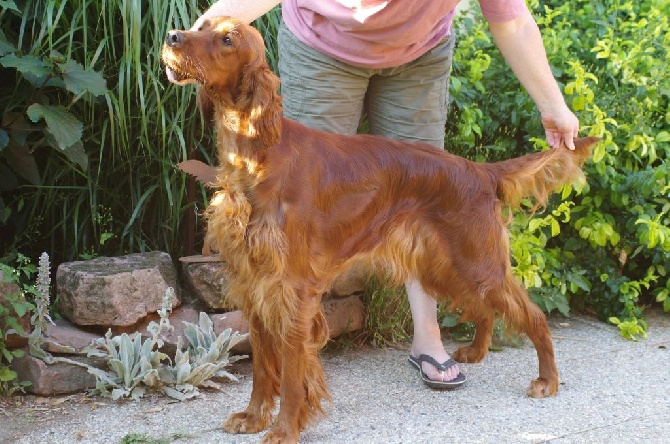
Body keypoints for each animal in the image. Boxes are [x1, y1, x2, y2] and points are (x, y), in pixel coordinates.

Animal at [165, 15, 600, 442]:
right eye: (202, 27)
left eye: (227, 39)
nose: (171, 36)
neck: (257, 155)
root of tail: (479, 171)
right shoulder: (254, 283)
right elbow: (261, 365)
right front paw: (254, 417)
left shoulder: (292, 289)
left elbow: (291, 372)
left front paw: (284, 431)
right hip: (446, 264)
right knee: (484, 307)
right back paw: (476, 353)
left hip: (475, 261)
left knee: (534, 316)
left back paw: (547, 380)